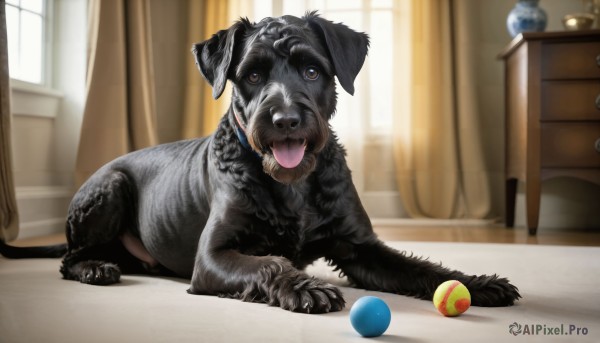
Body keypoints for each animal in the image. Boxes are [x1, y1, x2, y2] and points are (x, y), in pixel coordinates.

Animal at [0, 12, 516, 314]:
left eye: (312, 69)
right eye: (251, 76)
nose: (285, 120)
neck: (293, 185)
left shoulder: (361, 247)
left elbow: (422, 267)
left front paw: (477, 282)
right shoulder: (213, 256)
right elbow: (268, 263)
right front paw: (305, 287)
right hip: (110, 188)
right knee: (68, 258)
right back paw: (95, 268)